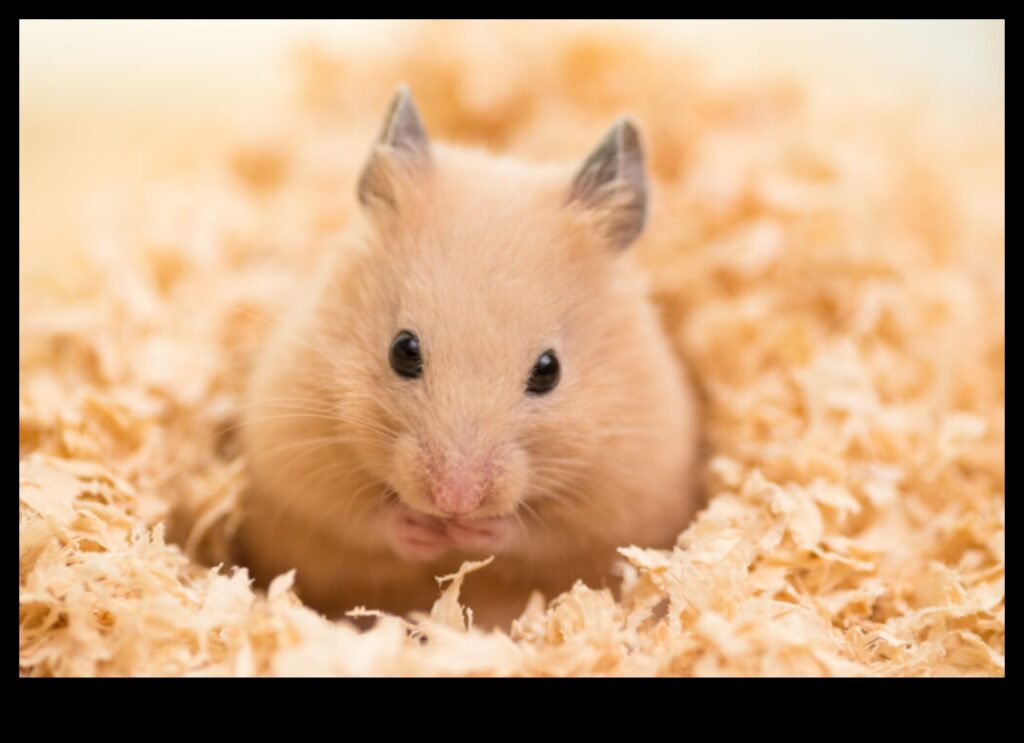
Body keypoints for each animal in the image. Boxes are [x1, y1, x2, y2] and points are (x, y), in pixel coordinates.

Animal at [231, 85, 702, 630]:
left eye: (549, 370)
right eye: (403, 349)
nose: (454, 503)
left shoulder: (629, 488)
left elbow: (544, 535)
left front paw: (474, 533)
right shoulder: (293, 447)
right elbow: (357, 516)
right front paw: (425, 530)